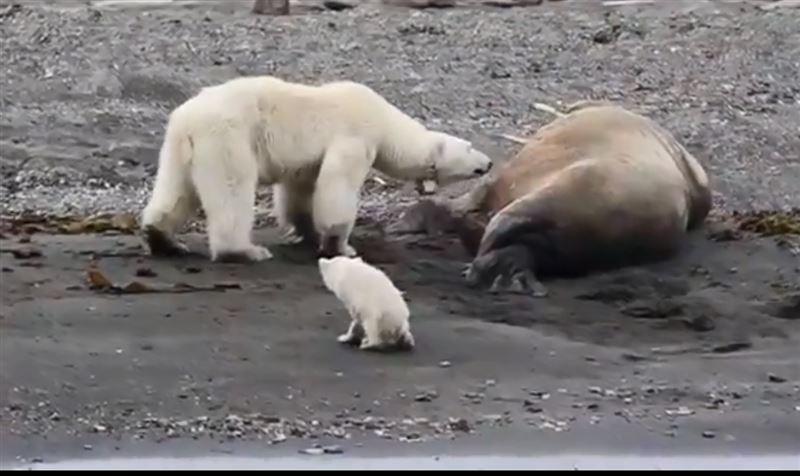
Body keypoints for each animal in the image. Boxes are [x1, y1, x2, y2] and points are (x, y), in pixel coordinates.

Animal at [142, 75, 494, 262]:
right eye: (470, 147)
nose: (489, 162)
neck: (385, 121)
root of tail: (187, 118)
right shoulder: (355, 135)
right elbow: (338, 186)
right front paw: (342, 246)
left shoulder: (307, 161)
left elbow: (301, 190)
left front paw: (307, 232)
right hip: (228, 137)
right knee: (232, 188)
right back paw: (245, 250)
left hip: (179, 145)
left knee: (177, 190)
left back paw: (164, 239)